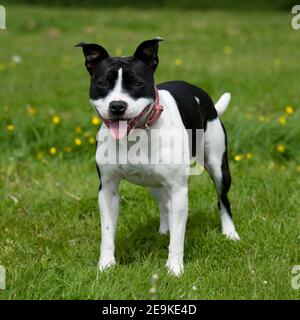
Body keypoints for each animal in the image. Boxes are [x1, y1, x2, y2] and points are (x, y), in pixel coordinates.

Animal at [76, 37, 240, 276]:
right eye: (103, 83)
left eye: (136, 83)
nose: (117, 106)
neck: (137, 133)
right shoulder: (107, 190)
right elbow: (107, 232)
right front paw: (106, 265)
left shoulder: (179, 190)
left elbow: (179, 237)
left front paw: (174, 268)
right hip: (152, 182)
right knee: (164, 204)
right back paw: (164, 229)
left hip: (218, 166)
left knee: (223, 200)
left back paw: (230, 233)